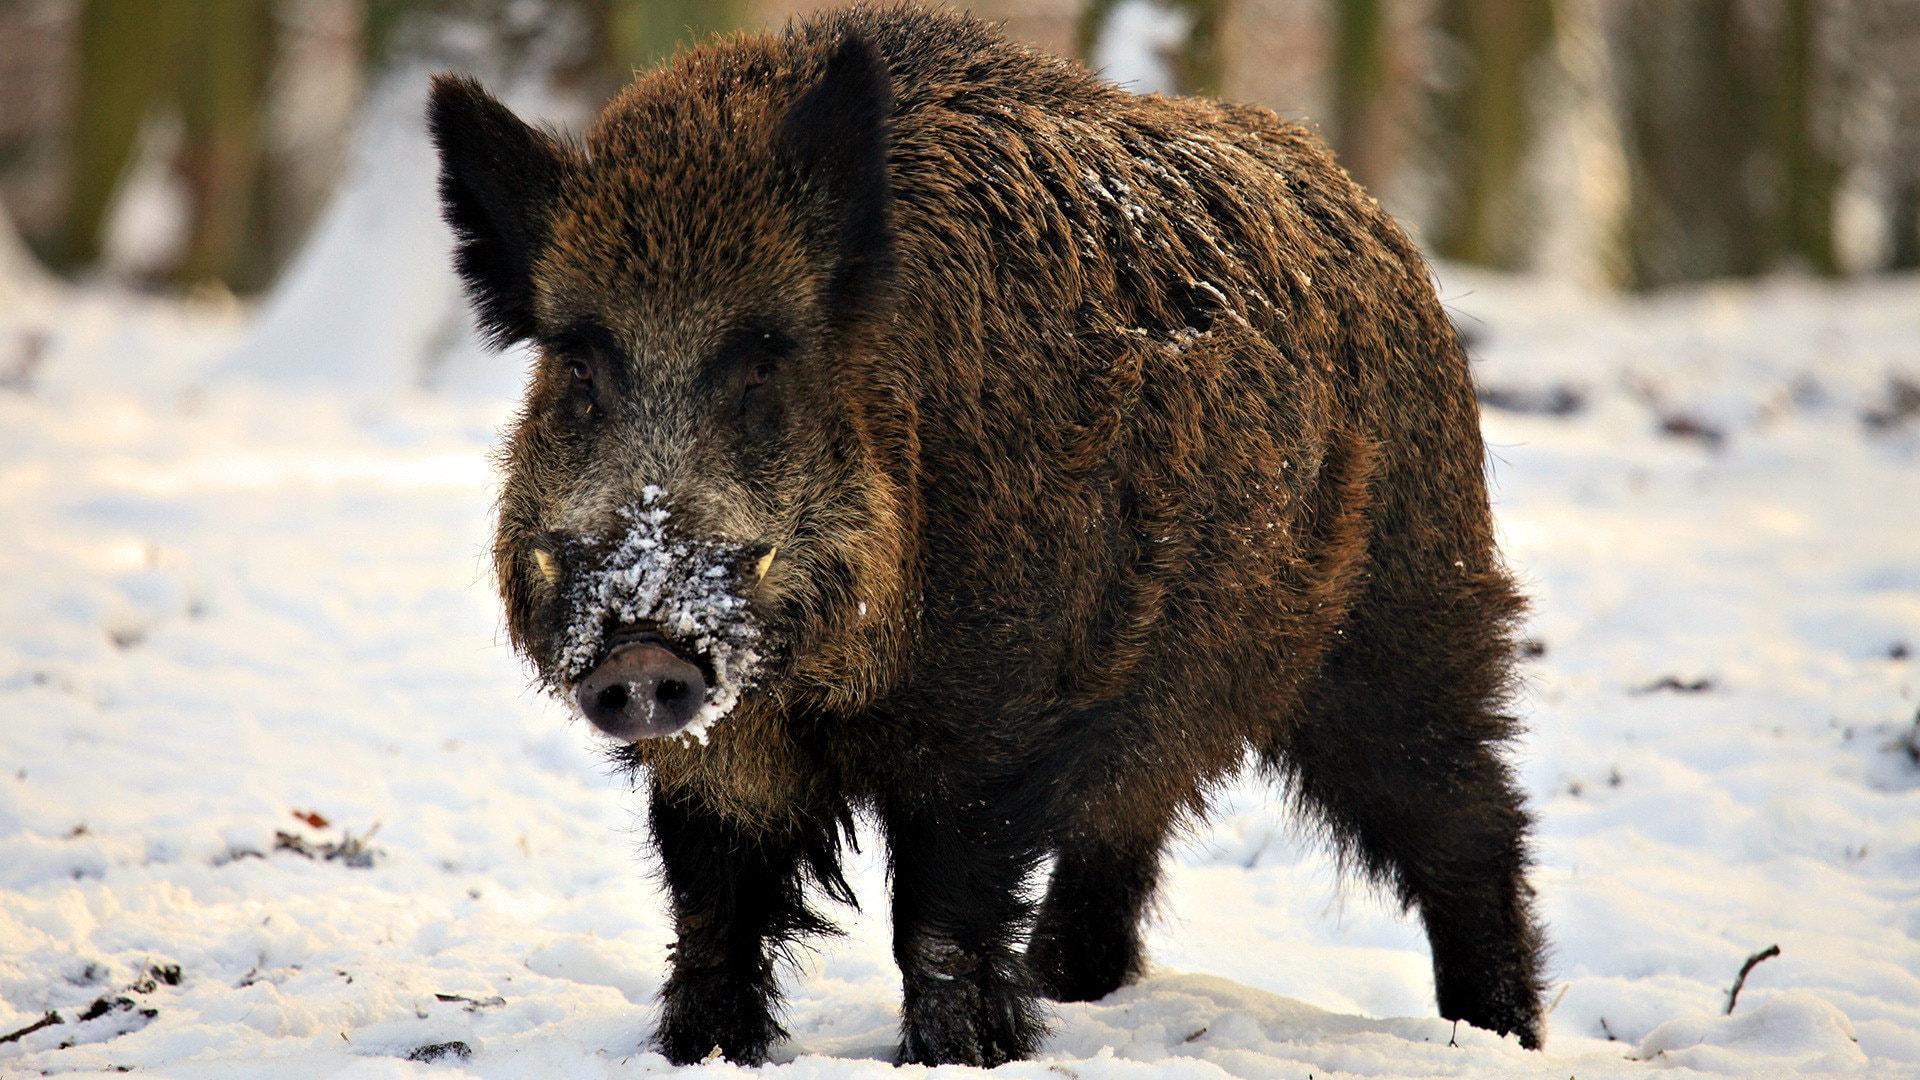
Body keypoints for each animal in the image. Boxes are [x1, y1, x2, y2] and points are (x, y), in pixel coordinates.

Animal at [428, 3, 1545, 1067]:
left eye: (764, 358)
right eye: (579, 362)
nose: (642, 652)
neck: (820, 685)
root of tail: (1373, 220)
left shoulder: (993, 712)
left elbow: (939, 921)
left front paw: (955, 1057)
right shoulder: (721, 750)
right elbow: (714, 911)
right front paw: (698, 1052)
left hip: (1404, 613)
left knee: (1468, 814)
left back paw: (1500, 1034)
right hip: (1169, 692)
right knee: (1129, 821)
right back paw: (1071, 990)